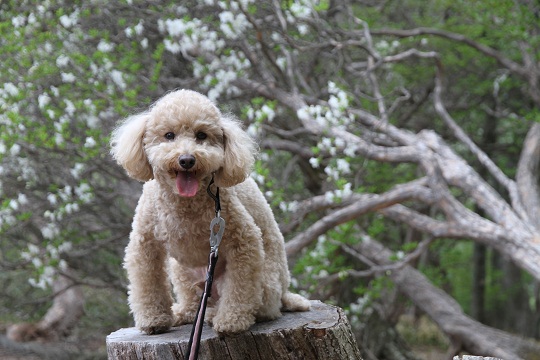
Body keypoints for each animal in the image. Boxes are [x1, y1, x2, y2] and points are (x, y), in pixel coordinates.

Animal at [109, 89, 310, 334]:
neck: (184, 203)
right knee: (193, 302)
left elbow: (240, 288)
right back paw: (183, 313)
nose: (186, 159)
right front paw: (153, 320)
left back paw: (214, 315)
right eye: (169, 135)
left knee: (263, 309)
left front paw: (231, 321)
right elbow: (148, 283)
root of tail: (285, 293)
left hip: (262, 283)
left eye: (201, 135)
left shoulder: (244, 241)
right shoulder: (145, 244)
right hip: (183, 272)